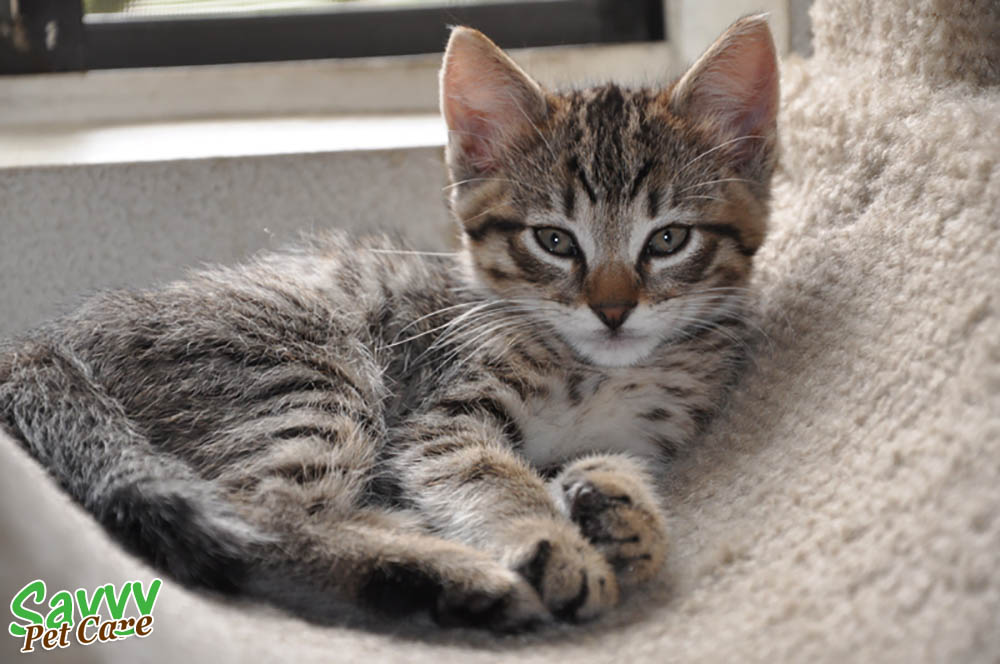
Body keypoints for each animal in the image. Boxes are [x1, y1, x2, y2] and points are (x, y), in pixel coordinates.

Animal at [0, 14, 780, 628]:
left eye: (668, 240)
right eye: (554, 241)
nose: (613, 310)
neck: (597, 372)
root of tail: (46, 343)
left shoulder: (640, 430)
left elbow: (604, 461)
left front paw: (625, 509)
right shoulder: (445, 413)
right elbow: (488, 473)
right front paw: (550, 537)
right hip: (308, 366)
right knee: (268, 518)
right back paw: (451, 576)